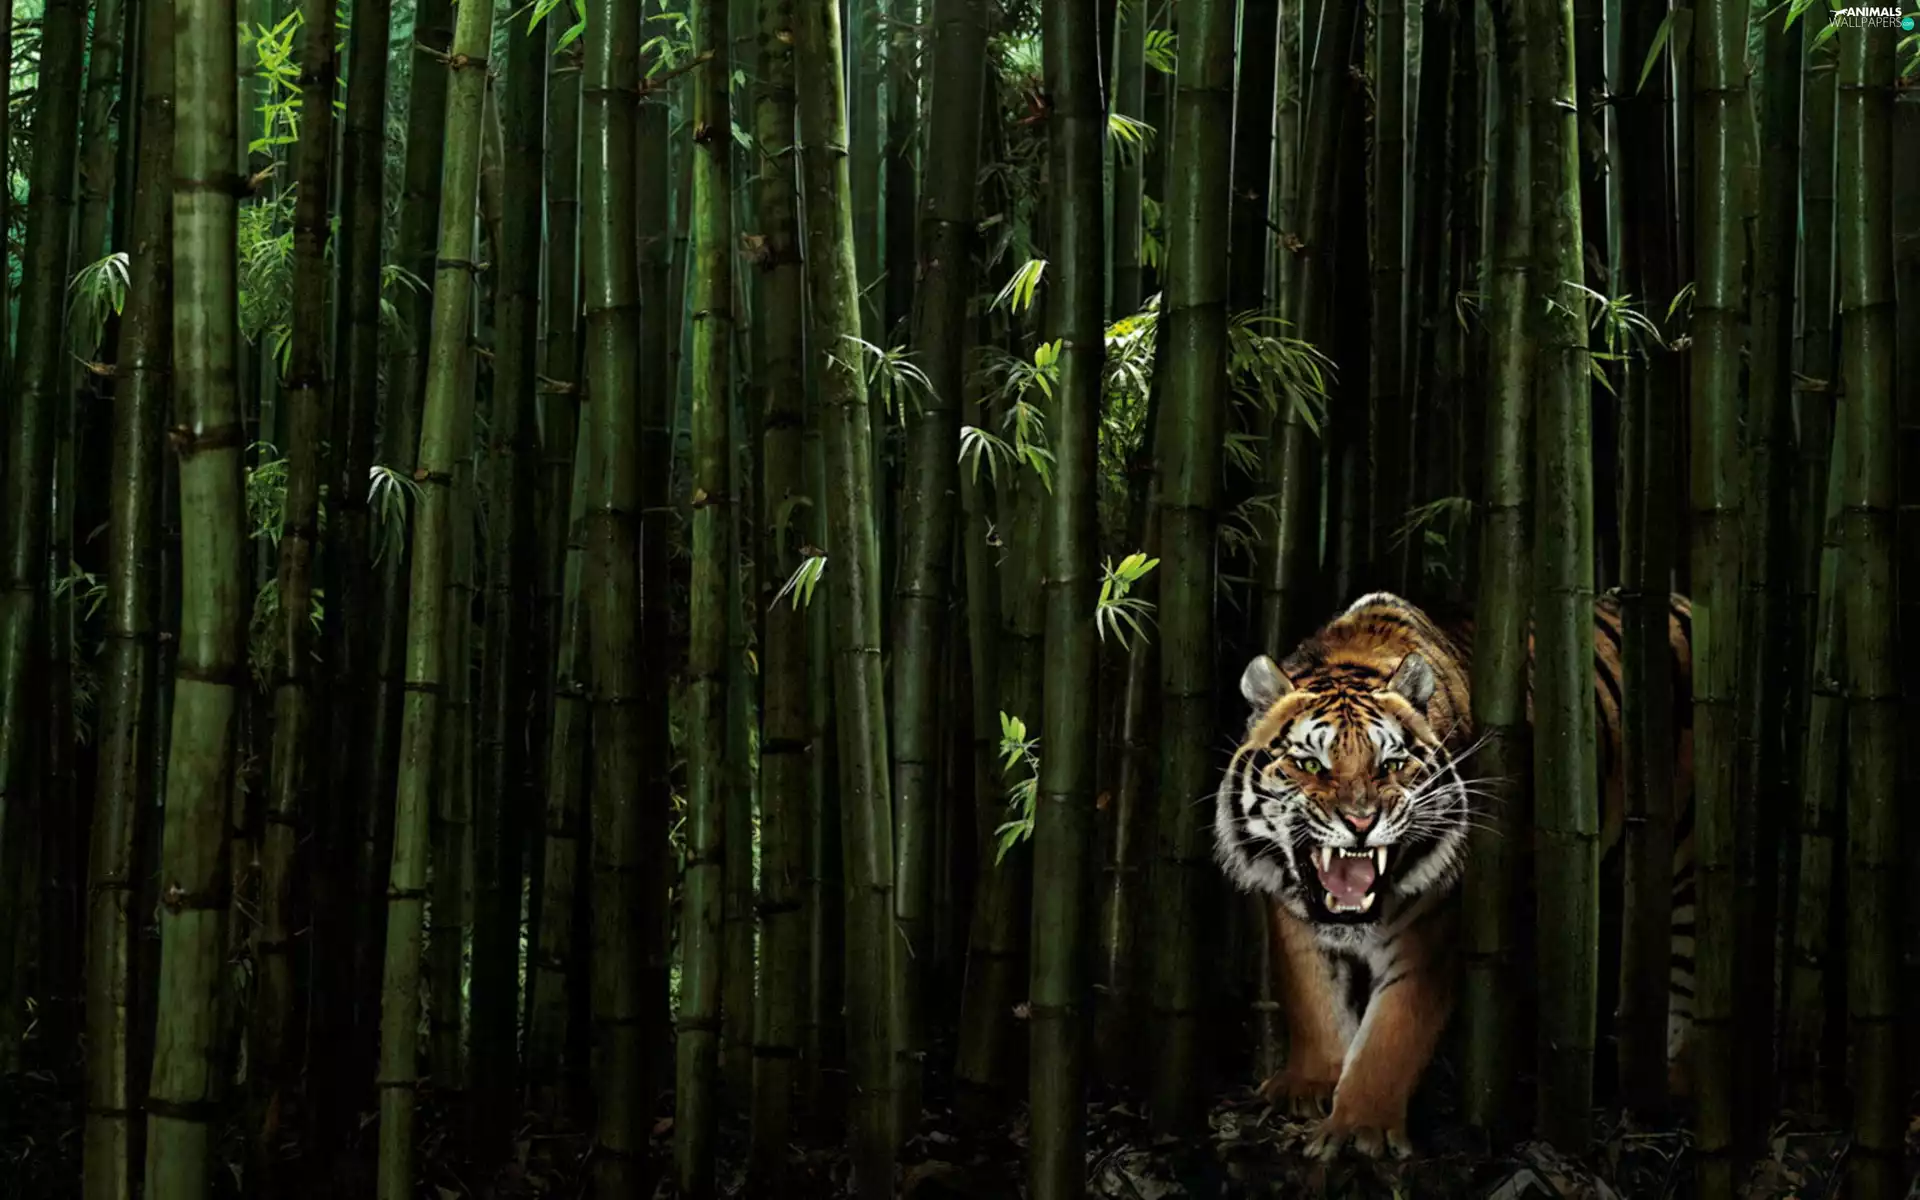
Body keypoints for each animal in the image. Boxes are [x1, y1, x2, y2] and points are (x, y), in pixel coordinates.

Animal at [1212, 589, 1695, 1160]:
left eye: (1390, 764)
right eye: (1310, 765)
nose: (1360, 821)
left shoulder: (1433, 927)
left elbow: (1393, 1032)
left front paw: (1358, 1129)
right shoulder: (1293, 916)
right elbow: (1313, 999)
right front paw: (1309, 1085)